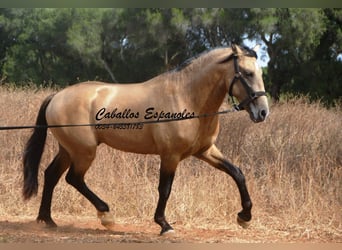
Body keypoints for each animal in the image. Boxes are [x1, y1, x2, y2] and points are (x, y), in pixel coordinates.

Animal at [23, 44, 270, 234]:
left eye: (260, 73)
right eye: (247, 73)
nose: (262, 112)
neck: (185, 96)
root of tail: (57, 96)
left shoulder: (206, 151)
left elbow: (237, 173)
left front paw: (244, 216)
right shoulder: (170, 155)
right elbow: (165, 189)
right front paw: (164, 225)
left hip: (68, 149)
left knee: (52, 175)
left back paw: (47, 220)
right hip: (84, 151)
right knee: (73, 178)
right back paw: (106, 215)